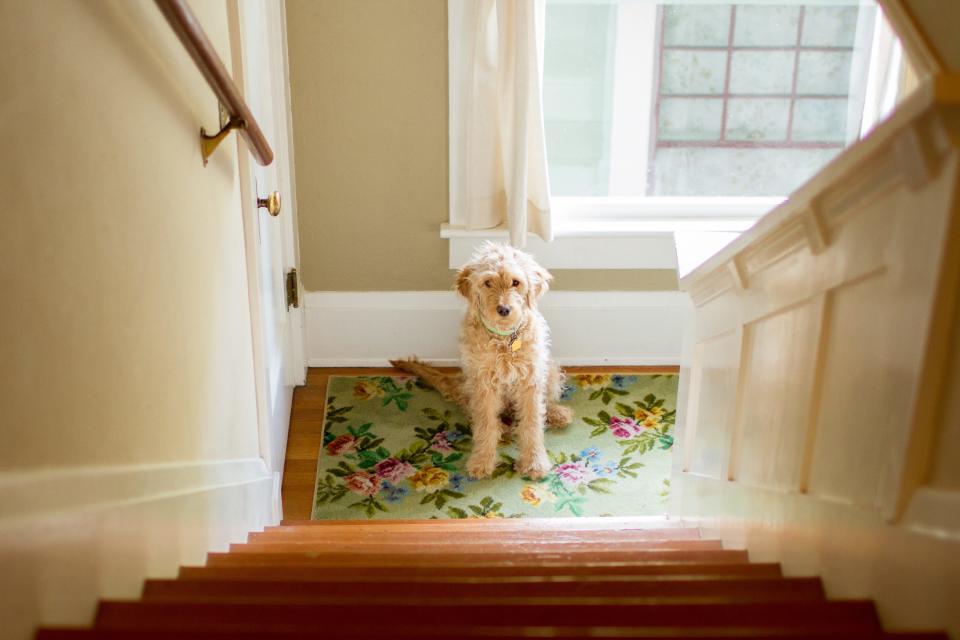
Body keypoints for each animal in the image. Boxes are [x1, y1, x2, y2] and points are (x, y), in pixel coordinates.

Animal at [390, 242, 568, 478]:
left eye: (516, 282)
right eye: (487, 282)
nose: (503, 309)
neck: (504, 339)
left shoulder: (529, 381)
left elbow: (532, 423)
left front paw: (534, 463)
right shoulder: (483, 383)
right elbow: (485, 424)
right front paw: (482, 461)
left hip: (550, 369)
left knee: (544, 403)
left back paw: (557, 413)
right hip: (470, 384)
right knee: (475, 412)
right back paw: (502, 427)